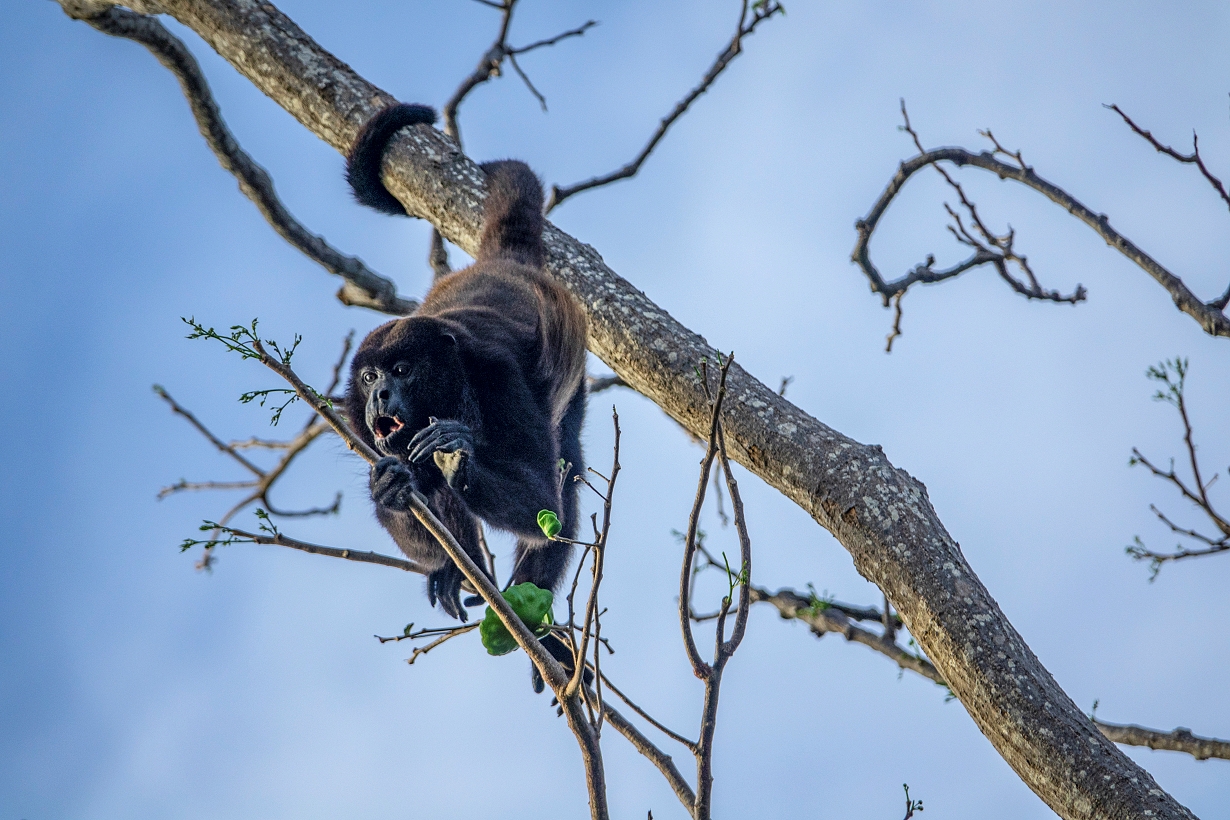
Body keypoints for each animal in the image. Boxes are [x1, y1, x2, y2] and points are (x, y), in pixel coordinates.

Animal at [343, 103, 588, 649]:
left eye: (402, 370)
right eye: (368, 377)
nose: (380, 395)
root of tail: (507, 261)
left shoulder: (499, 378)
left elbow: (545, 501)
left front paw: (459, 453)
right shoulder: (353, 418)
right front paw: (387, 485)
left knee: (568, 473)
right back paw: (461, 568)